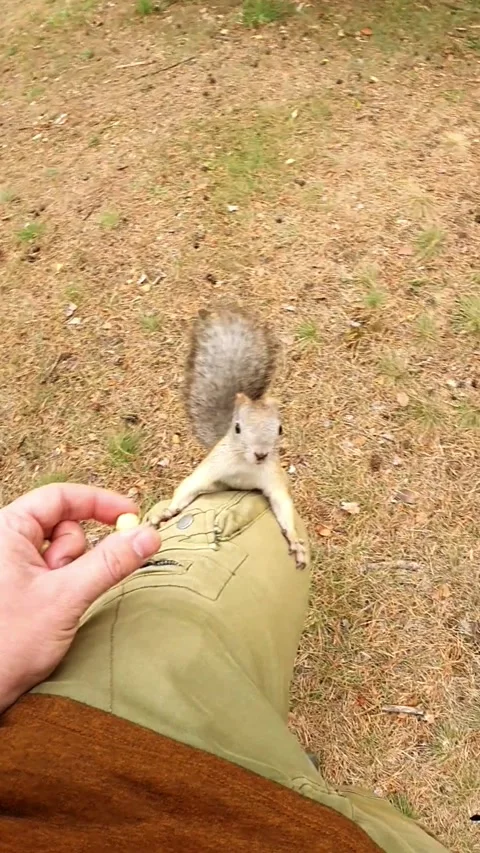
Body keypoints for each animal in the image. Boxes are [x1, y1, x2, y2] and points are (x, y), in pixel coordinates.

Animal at [157, 307, 307, 568]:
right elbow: (189, 486)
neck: (246, 466)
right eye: (237, 428)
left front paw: (295, 542)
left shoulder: (273, 478)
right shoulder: (212, 468)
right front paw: (169, 511)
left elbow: (282, 504)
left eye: (280, 429)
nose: (261, 454)